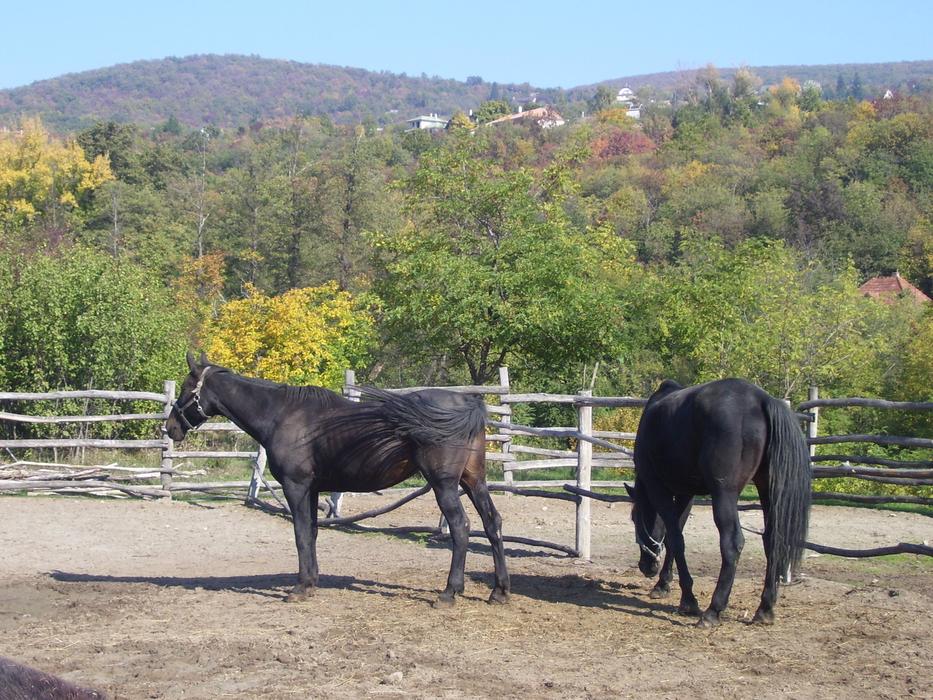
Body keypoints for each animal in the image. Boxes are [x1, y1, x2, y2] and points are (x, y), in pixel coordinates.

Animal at [165, 352, 509, 607]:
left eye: (186, 388)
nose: (170, 428)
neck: (281, 414)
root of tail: (469, 404)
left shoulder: (296, 487)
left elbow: (301, 535)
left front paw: (299, 589)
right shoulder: (313, 490)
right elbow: (313, 533)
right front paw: (311, 582)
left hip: (445, 485)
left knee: (461, 527)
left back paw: (449, 592)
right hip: (473, 481)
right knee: (492, 522)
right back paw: (499, 591)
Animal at [625, 378, 811, 627]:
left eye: (634, 517)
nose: (645, 567)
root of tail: (762, 400)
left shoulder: (658, 489)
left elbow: (676, 539)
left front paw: (688, 600)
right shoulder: (686, 494)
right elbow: (675, 536)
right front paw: (663, 585)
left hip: (724, 494)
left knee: (732, 543)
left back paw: (712, 611)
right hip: (768, 490)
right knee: (772, 540)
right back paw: (764, 609)